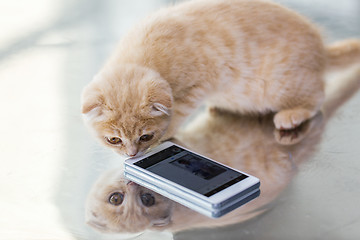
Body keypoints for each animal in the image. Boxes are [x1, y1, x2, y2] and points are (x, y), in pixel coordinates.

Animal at [81, 0, 360, 158]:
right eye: (114, 140)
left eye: (145, 137)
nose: (131, 154)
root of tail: (321, 49)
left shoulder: (201, 83)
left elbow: (178, 112)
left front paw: (166, 133)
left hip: (282, 85)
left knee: (318, 95)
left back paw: (291, 114)